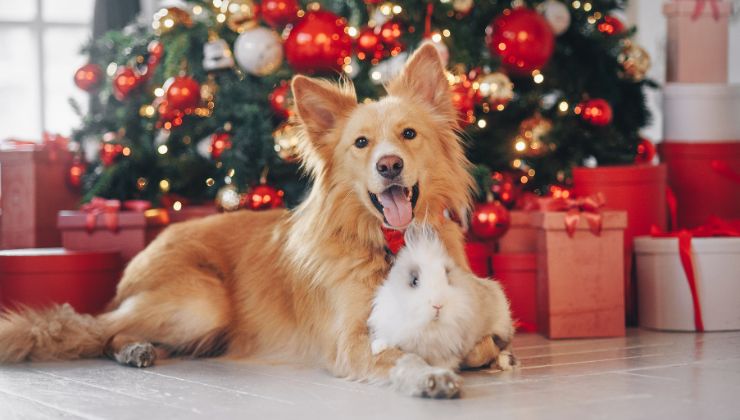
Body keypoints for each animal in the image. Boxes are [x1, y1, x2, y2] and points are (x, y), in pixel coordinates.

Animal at [368, 223, 516, 370]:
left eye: (447, 276)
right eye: (415, 281)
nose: (438, 305)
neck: (429, 328)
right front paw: (378, 347)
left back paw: (505, 361)